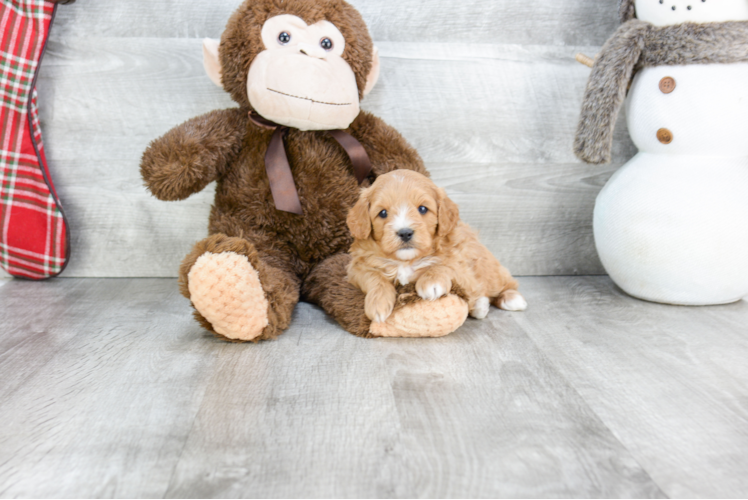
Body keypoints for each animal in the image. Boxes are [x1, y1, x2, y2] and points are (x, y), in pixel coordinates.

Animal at [344, 170, 524, 322]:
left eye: (423, 209)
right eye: (382, 213)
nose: (405, 233)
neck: (406, 261)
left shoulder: (460, 258)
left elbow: (447, 264)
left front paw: (431, 281)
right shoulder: (356, 268)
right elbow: (374, 276)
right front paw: (378, 303)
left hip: (488, 268)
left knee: (502, 282)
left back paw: (511, 299)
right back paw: (480, 306)